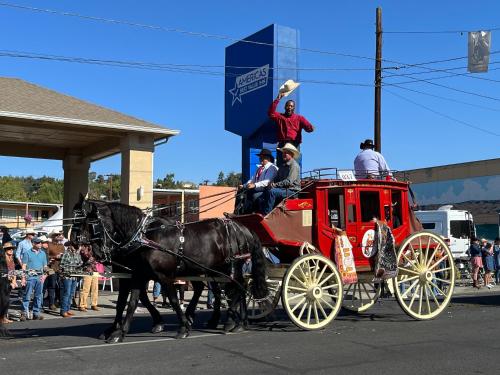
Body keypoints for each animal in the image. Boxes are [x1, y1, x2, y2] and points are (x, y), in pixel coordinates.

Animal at [72, 198, 268, 342]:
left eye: (90, 222)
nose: (74, 242)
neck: (144, 237)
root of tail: (243, 228)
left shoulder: (162, 275)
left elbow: (173, 300)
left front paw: (183, 328)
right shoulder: (137, 274)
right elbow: (130, 303)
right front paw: (119, 332)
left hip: (231, 266)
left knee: (237, 289)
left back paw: (232, 322)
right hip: (215, 269)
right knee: (230, 289)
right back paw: (234, 320)